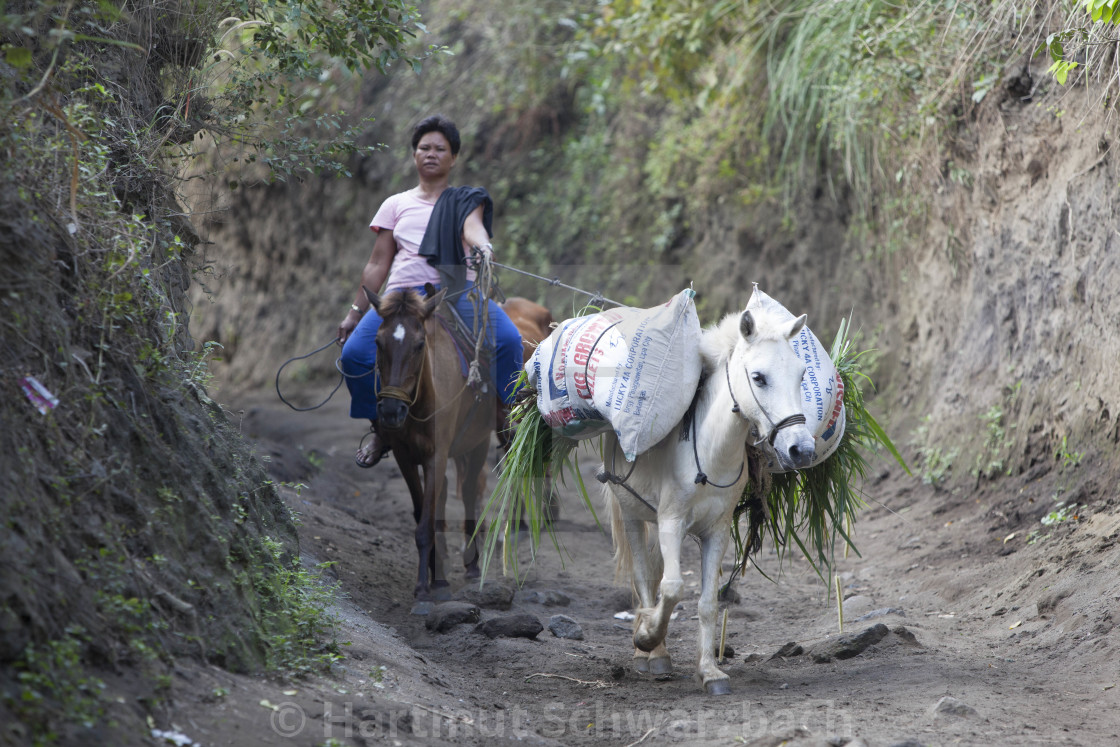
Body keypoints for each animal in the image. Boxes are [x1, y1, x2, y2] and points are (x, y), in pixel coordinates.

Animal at [362, 284, 495, 600]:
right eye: (377, 342)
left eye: (420, 344)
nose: (390, 410)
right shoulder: (405, 457)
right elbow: (422, 512)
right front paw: (434, 574)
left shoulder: (437, 455)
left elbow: (426, 523)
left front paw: (423, 586)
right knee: (445, 494)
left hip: (479, 442)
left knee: (469, 492)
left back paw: (472, 564)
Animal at [604, 302, 815, 694]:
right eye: (759, 377)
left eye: (801, 374)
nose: (802, 449)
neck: (708, 452)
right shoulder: (671, 522)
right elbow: (673, 588)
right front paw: (646, 637)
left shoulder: (716, 532)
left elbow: (706, 604)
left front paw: (709, 671)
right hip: (631, 513)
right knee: (643, 577)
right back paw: (652, 653)